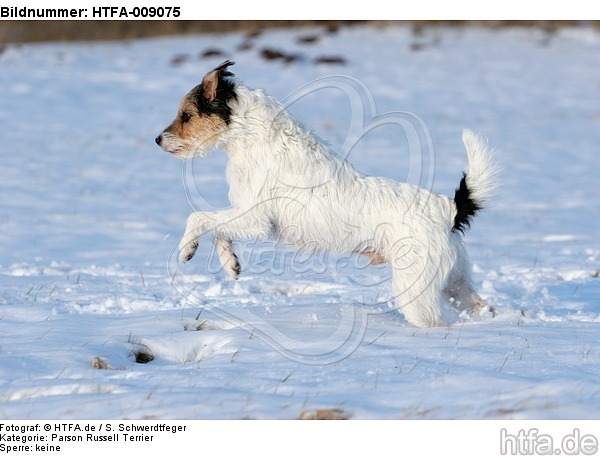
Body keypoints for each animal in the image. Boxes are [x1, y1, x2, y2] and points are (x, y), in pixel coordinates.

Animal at [156, 60, 496, 328]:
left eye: (186, 115)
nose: (157, 139)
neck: (253, 137)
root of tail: (448, 209)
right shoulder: (243, 216)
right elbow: (220, 231)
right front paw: (231, 263)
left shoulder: (255, 219)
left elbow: (199, 218)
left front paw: (187, 249)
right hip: (455, 283)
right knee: (483, 307)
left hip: (416, 290)